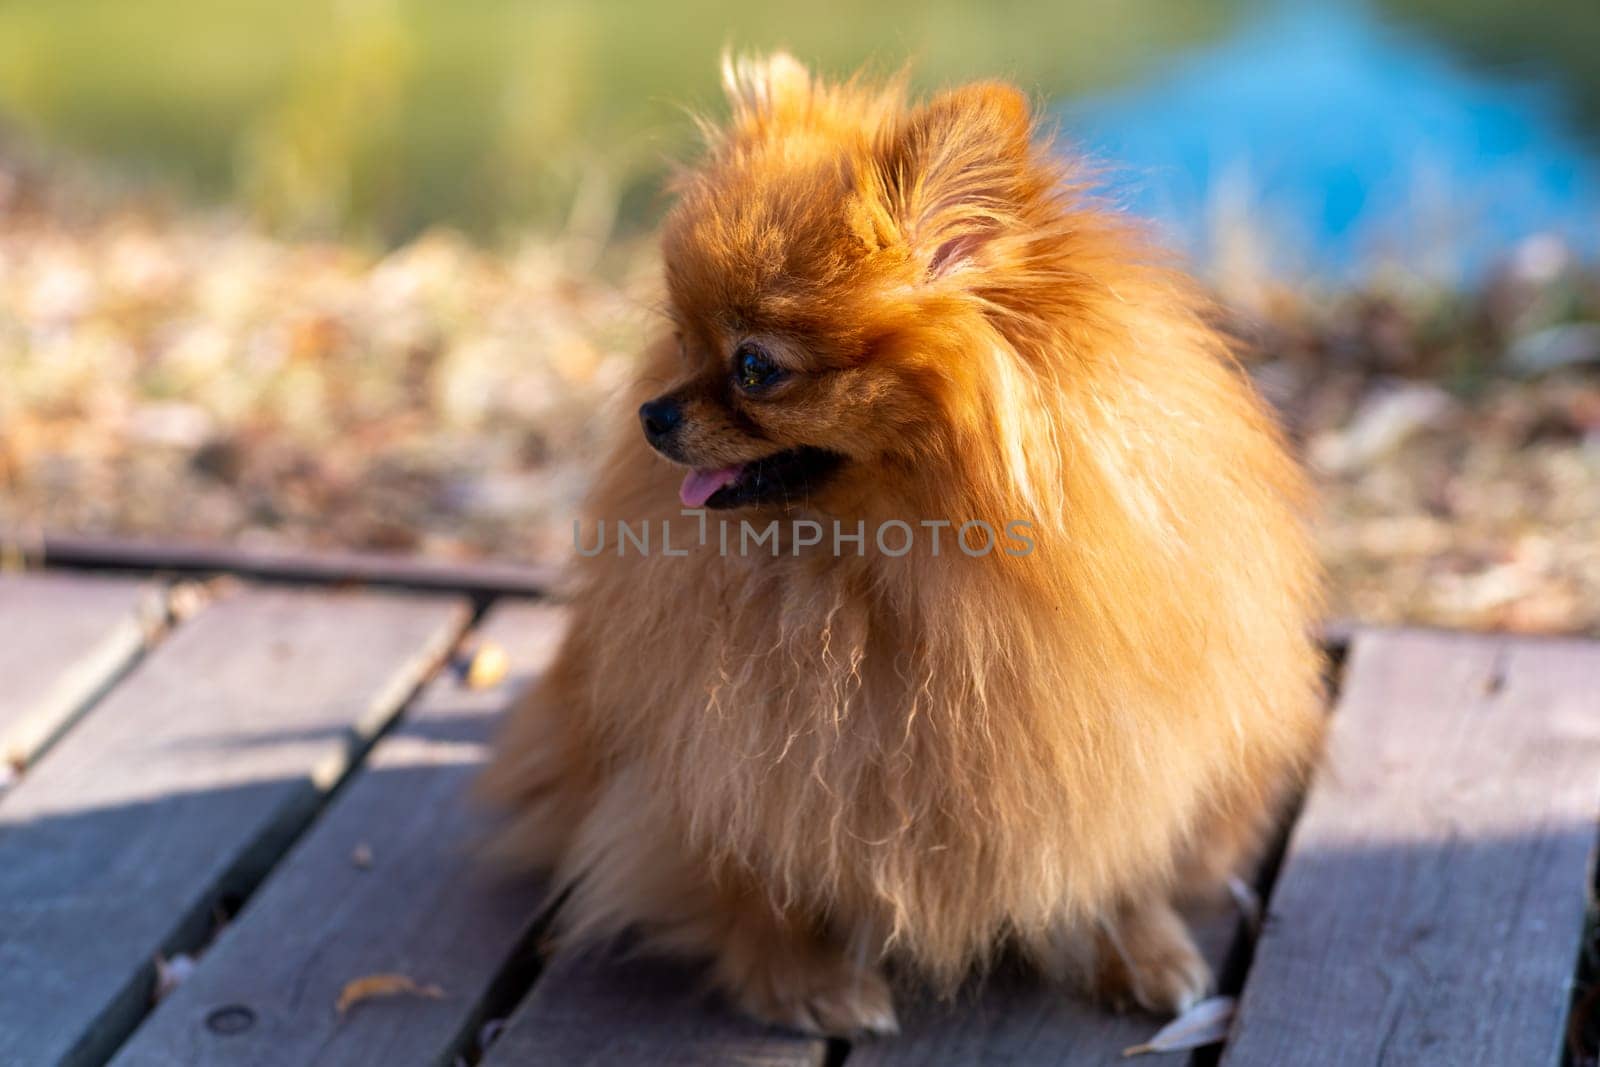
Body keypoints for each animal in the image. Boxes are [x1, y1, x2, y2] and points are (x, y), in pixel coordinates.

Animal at [476, 54, 1324, 1036]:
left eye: (754, 367)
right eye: (682, 340)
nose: (653, 414)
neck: (893, 564)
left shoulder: (1116, 740)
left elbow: (1107, 853)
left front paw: (1134, 942)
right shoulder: (731, 756)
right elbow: (752, 875)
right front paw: (802, 979)